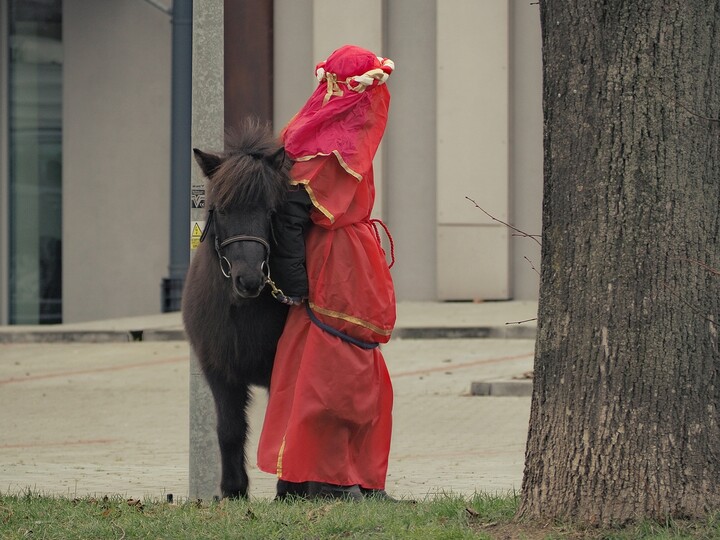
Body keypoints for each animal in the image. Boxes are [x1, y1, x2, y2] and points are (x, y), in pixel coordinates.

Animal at [181, 120, 292, 500]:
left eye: (270, 211)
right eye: (223, 210)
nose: (250, 279)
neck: (242, 312)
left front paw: (287, 489)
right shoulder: (219, 369)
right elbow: (229, 428)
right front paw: (233, 490)